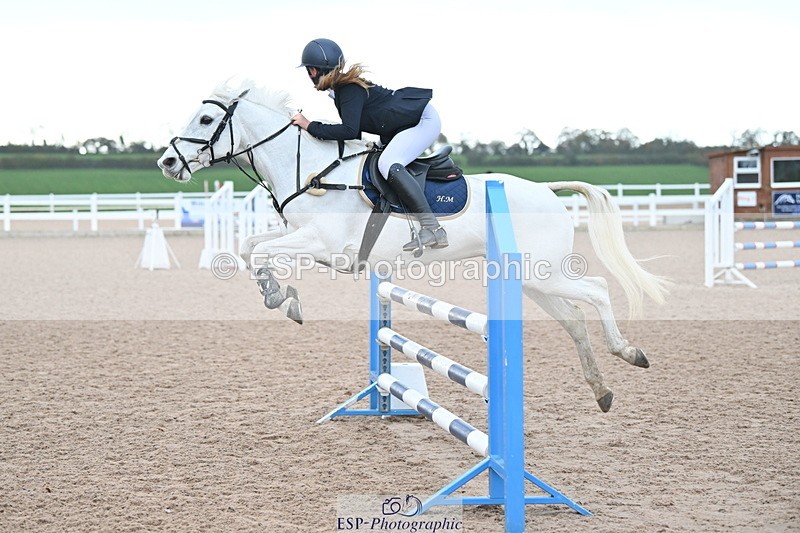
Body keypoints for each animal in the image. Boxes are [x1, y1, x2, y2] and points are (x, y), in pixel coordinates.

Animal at [157, 80, 669, 412]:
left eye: (206, 118)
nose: (167, 162)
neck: (311, 170)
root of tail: (546, 190)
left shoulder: (324, 243)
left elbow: (261, 253)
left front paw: (281, 297)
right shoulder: (306, 242)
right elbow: (250, 246)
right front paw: (282, 296)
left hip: (544, 272)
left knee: (597, 290)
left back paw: (630, 353)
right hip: (531, 280)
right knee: (575, 319)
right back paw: (601, 391)